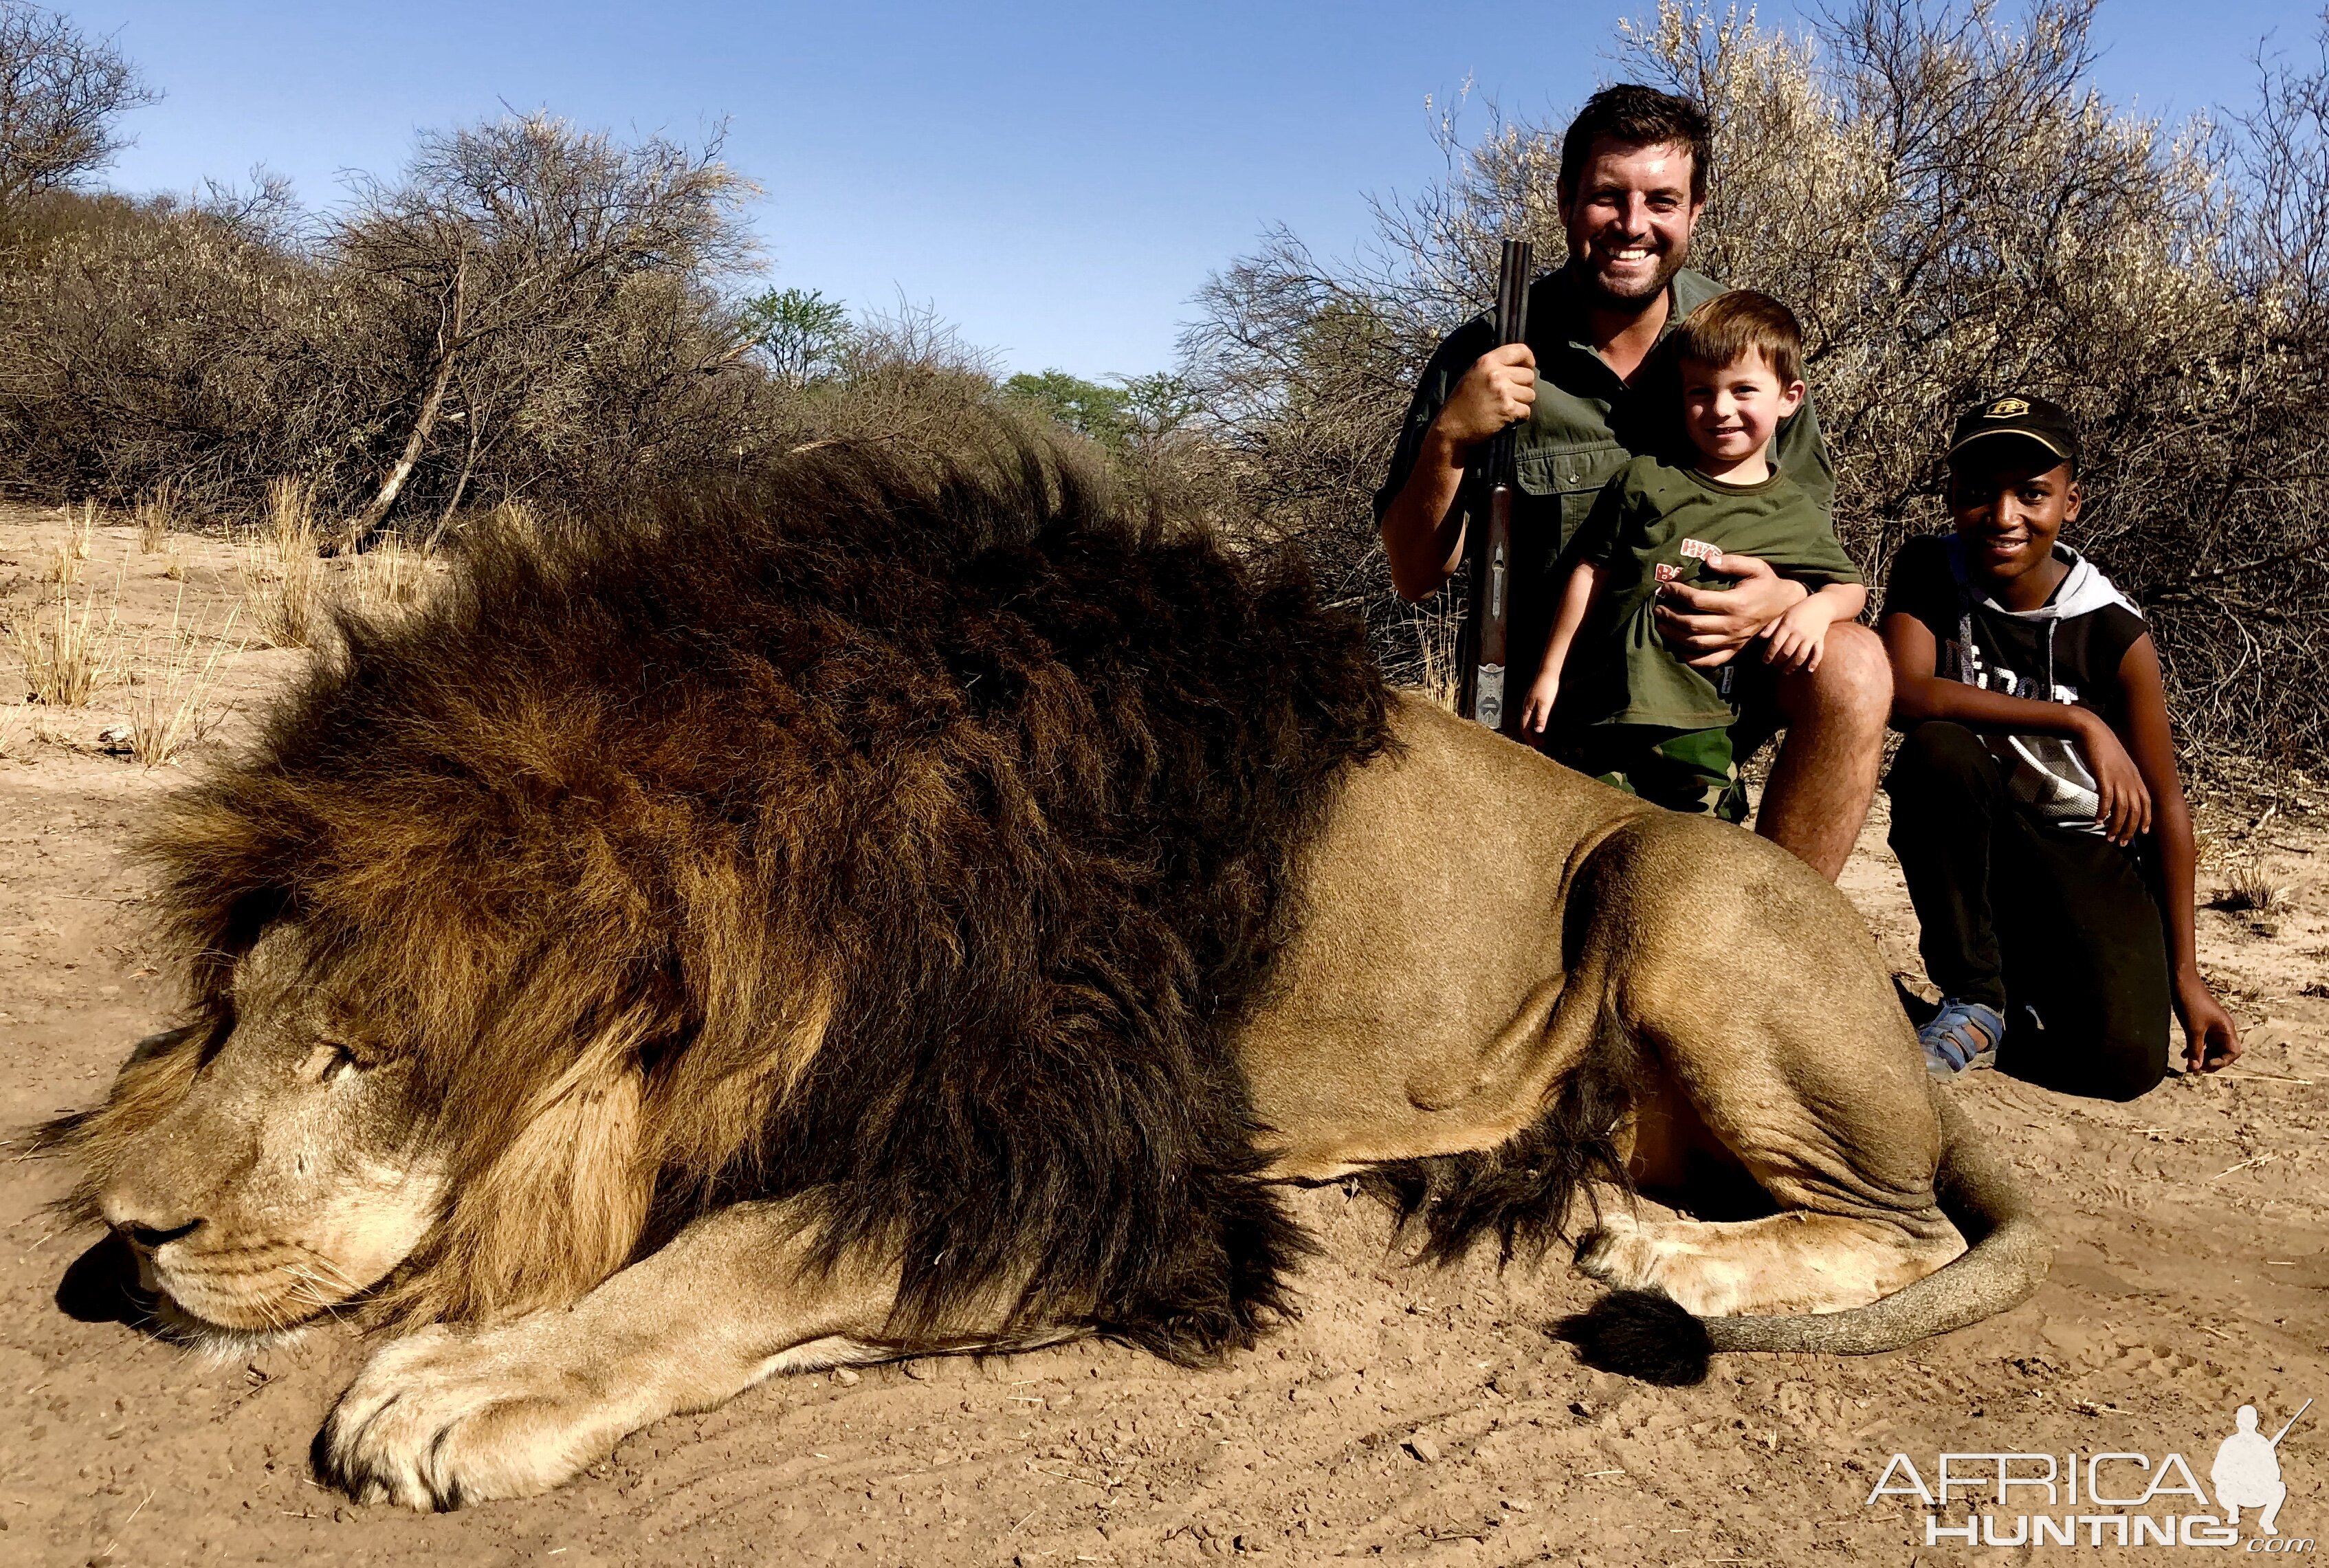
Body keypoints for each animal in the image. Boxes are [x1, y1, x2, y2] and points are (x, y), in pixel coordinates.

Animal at [45, 438, 2049, 1500]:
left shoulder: (1095, 1159)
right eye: (235, 1011)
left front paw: (471, 1378)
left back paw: (1666, 1252)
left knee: (1898, 1226)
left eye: (366, 1051)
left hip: (1671, 883)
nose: (122, 1237)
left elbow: (748, 1252)